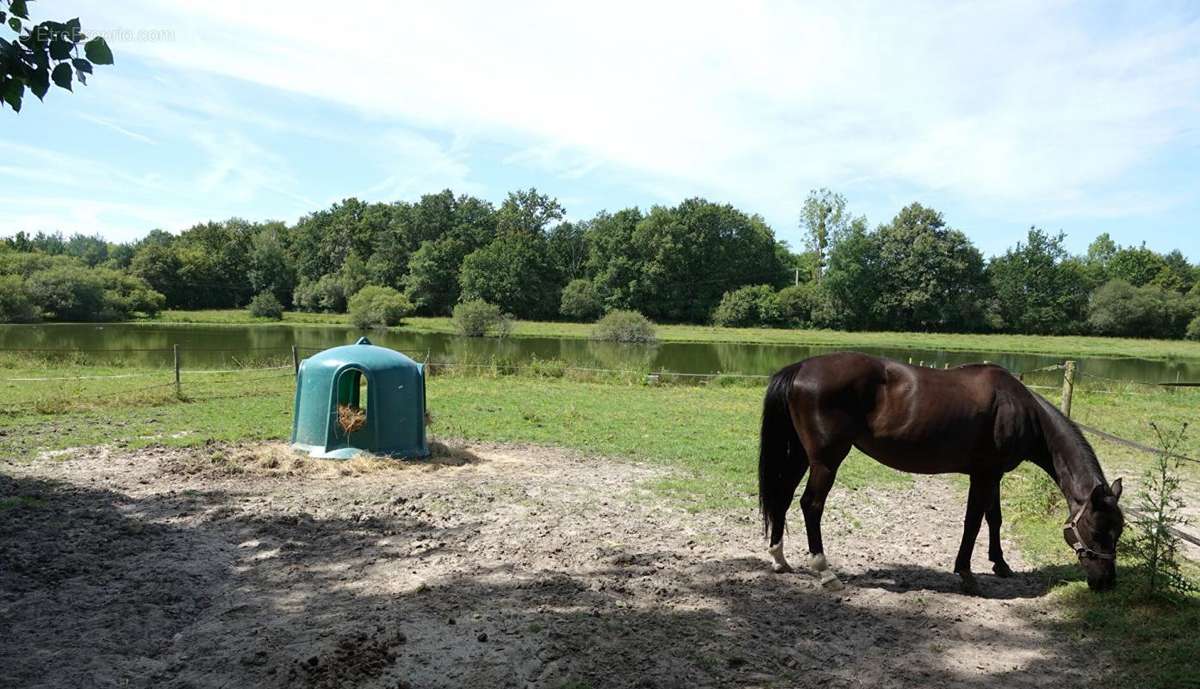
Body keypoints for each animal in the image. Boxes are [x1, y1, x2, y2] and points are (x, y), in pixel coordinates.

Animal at [758, 352, 1123, 597]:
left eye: (1118, 531)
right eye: (1097, 530)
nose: (1106, 582)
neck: (1020, 409)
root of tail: (800, 367)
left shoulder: (993, 475)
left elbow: (994, 519)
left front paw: (1000, 565)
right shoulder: (983, 475)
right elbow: (973, 522)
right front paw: (967, 574)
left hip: (801, 455)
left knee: (784, 496)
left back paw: (779, 559)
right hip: (826, 461)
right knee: (811, 505)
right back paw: (825, 573)